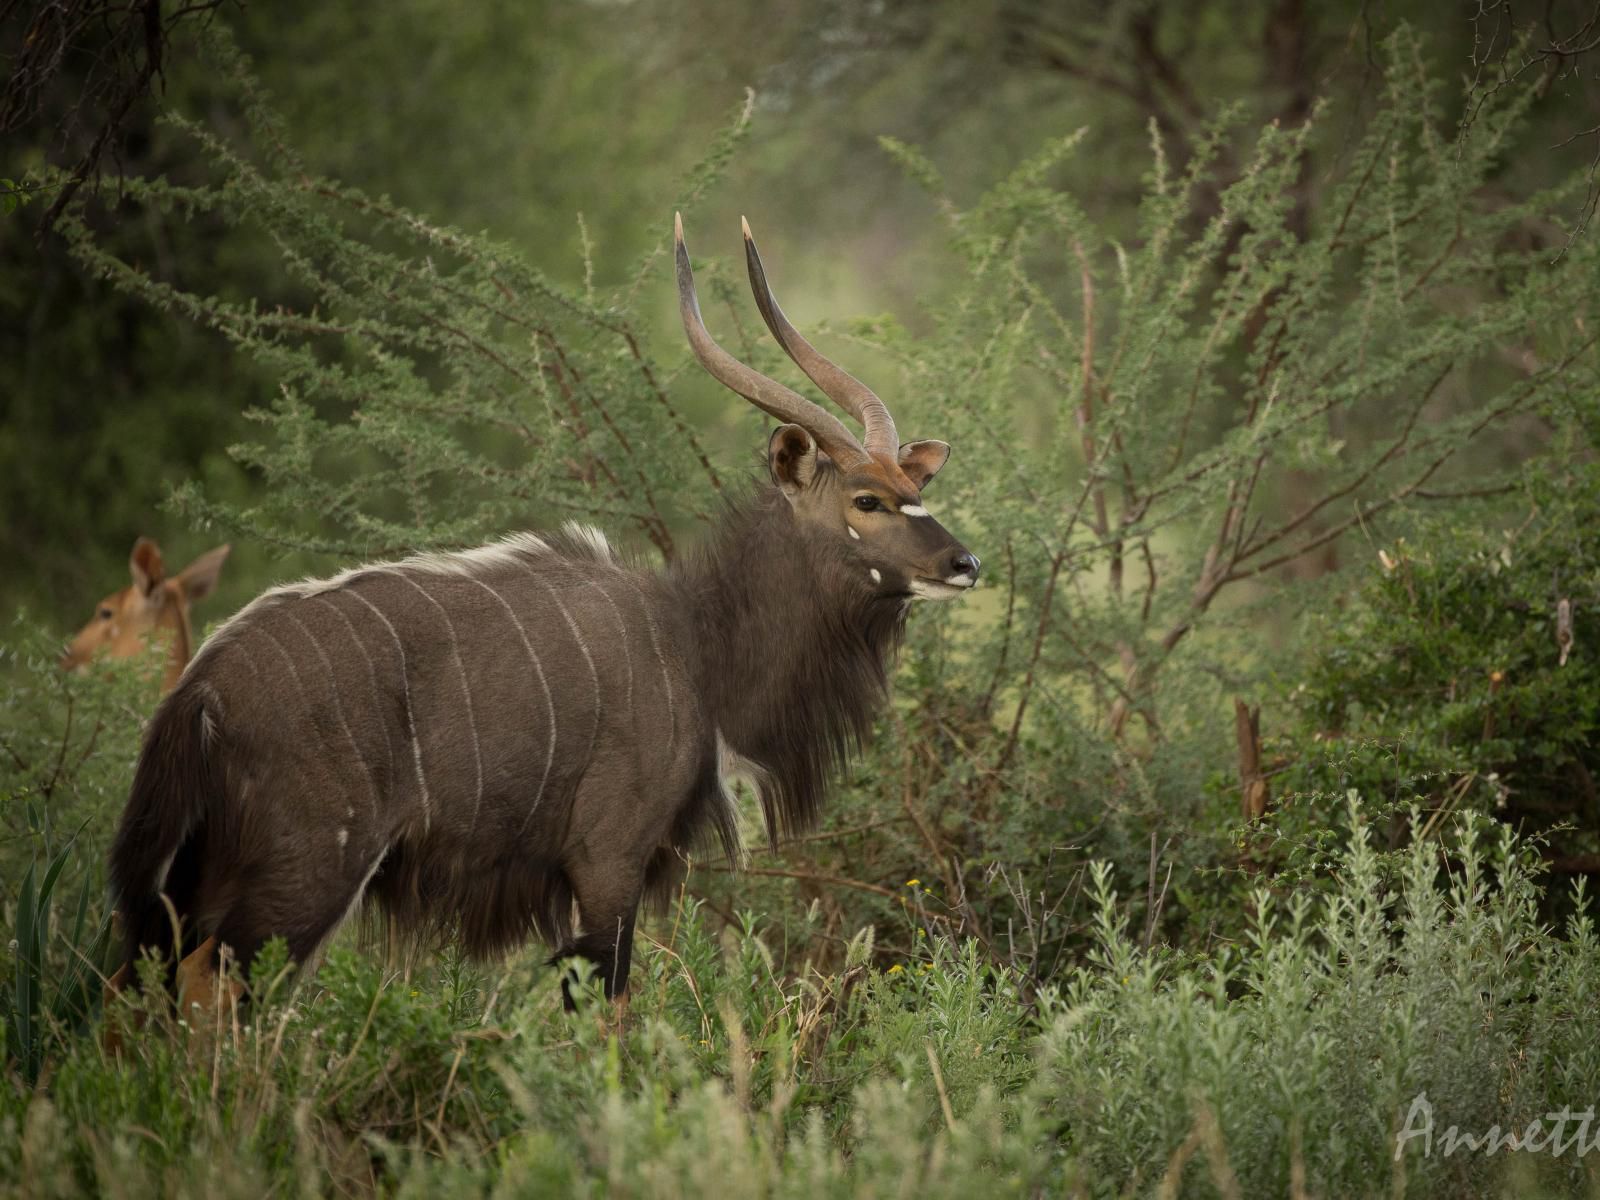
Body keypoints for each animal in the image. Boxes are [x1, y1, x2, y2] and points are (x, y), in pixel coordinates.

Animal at [109, 216, 972, 1017]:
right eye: (867, 500)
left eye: (914, 487)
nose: (966, 564)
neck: (695, 643)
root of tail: (200, 692)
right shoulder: (607, 861)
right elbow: (609, 1013)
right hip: (305, 876)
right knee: (212, 989)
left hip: (199, 882)